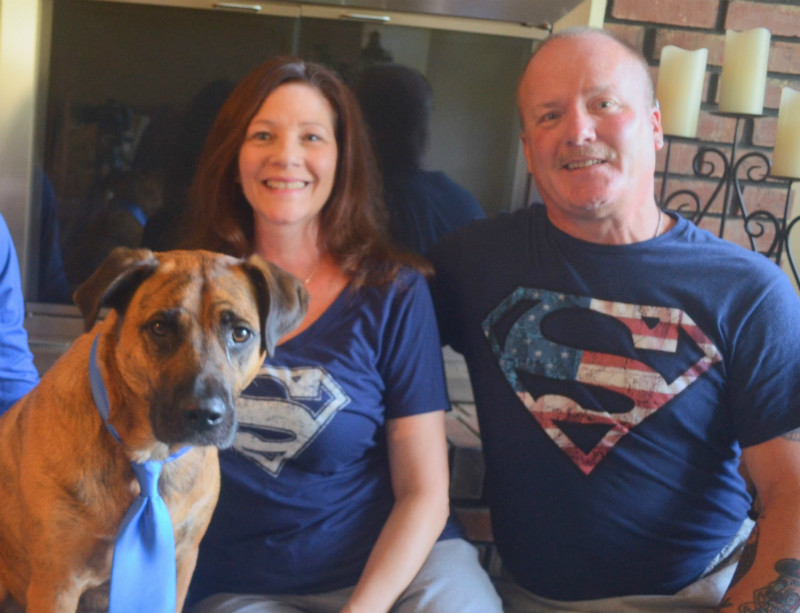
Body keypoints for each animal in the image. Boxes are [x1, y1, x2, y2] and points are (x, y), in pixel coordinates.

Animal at [0, 246, 310, 608]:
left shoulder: (183, 561)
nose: (204, 414)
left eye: (241, 333)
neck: (149, 457)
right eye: (160, 327)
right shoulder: (56, 584)